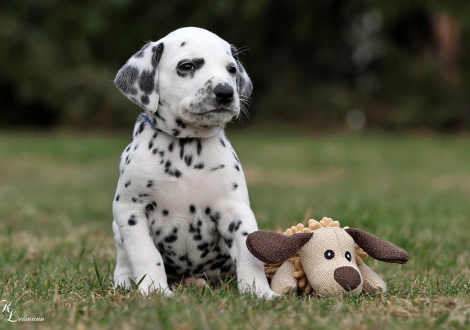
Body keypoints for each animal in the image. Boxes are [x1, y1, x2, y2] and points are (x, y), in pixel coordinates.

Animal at [113, 26, 276, 300]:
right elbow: (146, 254)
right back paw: (124, 283)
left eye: (231, 69)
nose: (225, 92)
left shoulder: (235, 210)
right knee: (124, 264)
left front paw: (259, 291)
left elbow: (248, 253)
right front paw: (154, 290)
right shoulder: (130, 210)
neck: (185, 147)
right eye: (187, 66)